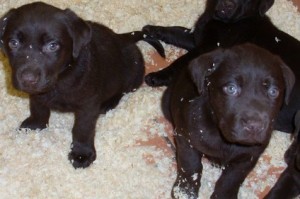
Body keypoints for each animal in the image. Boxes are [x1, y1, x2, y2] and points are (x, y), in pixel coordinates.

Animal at [163, 44, 294, 199]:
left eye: (274, 92)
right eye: (231, 88)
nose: (254, 126)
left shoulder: (249, 156)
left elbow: (232, 178)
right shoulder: (185, 138)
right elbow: (190, 164)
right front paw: (185, 191)